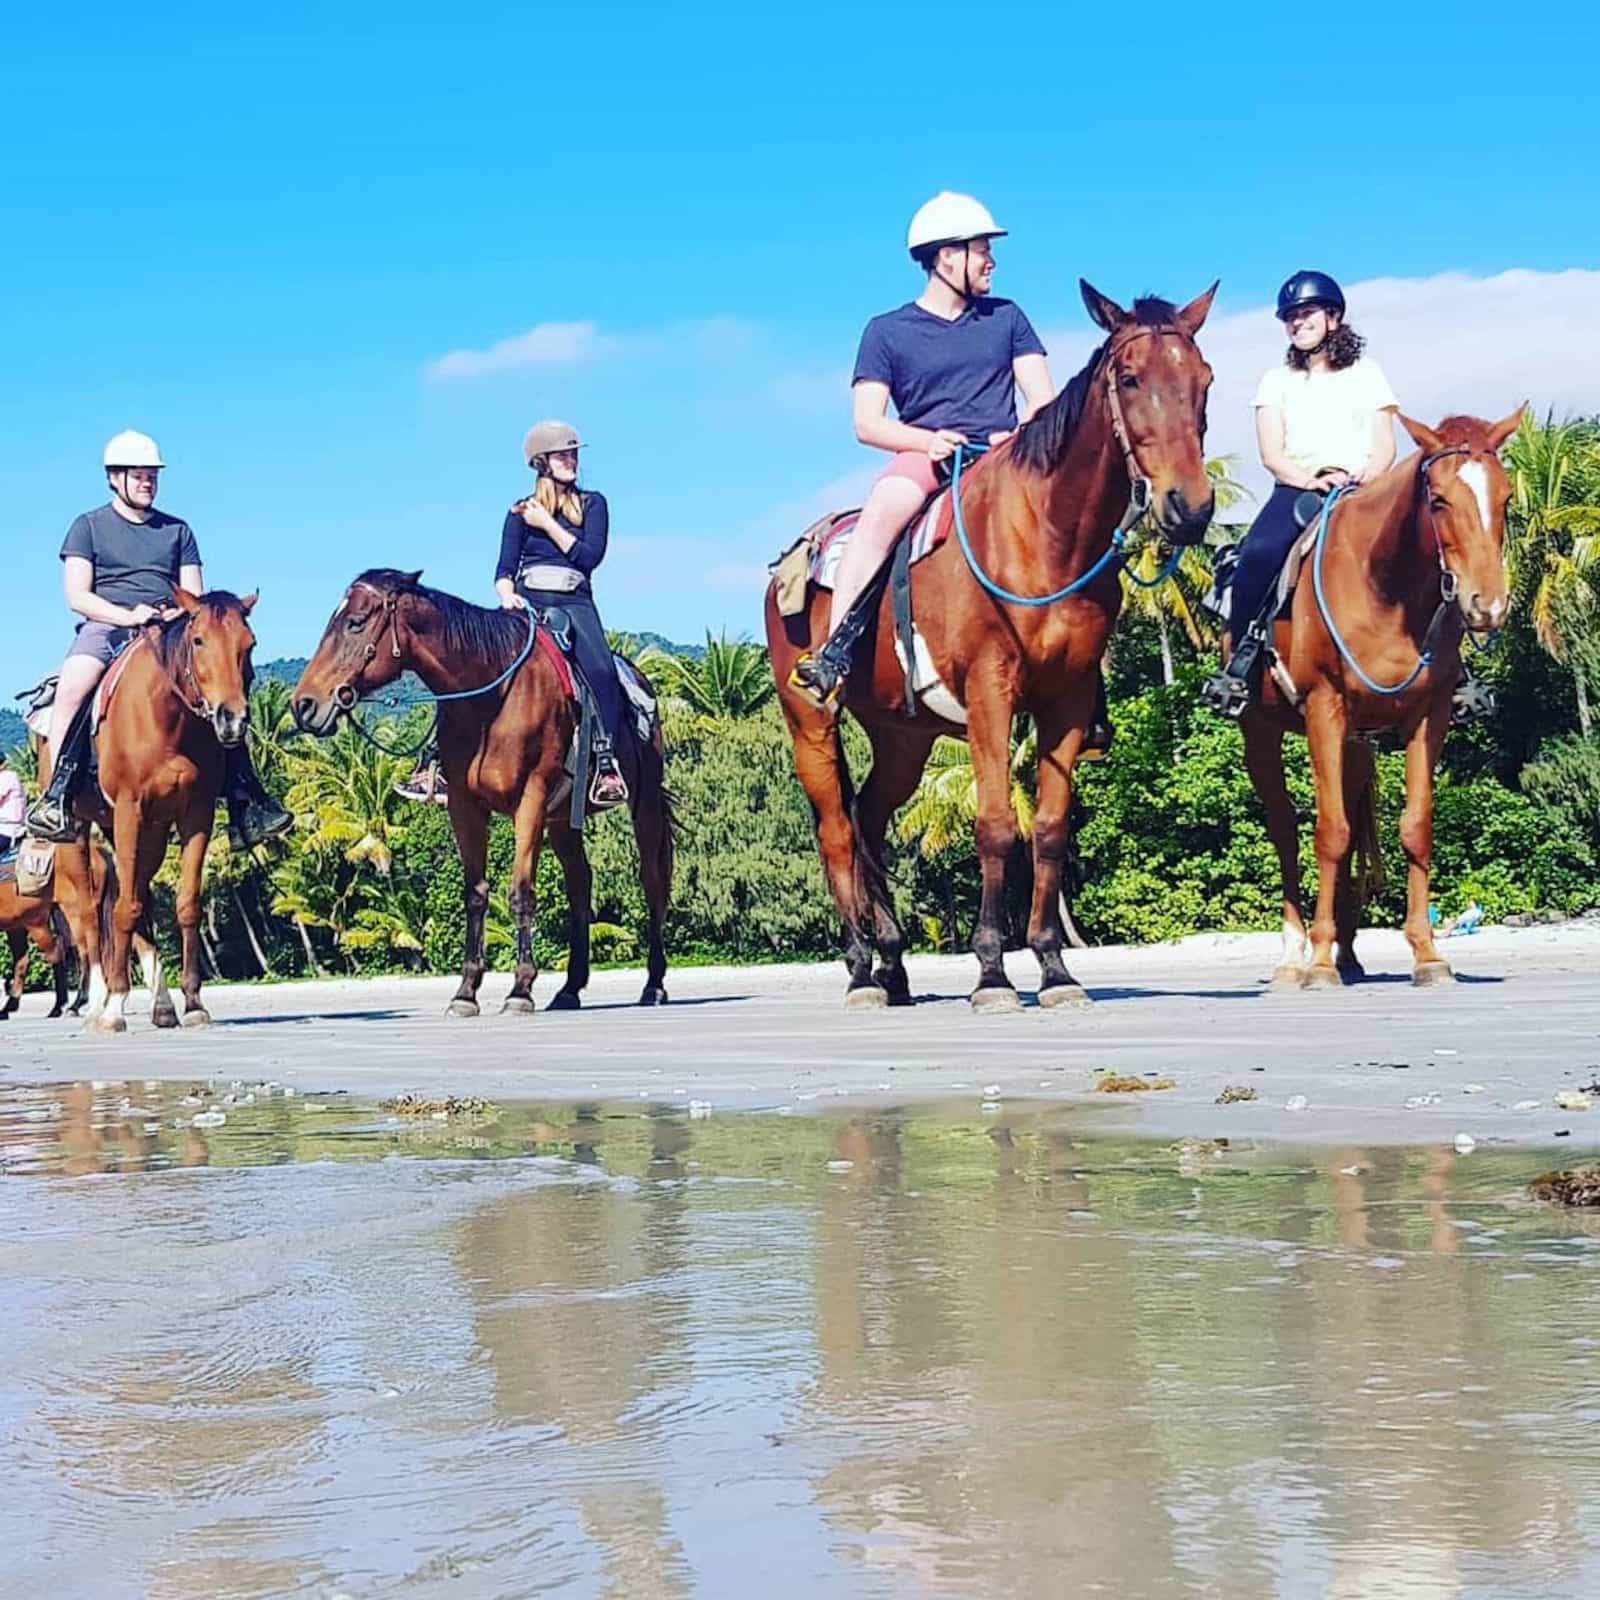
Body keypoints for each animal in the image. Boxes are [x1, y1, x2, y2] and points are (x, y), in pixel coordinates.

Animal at [42, 589, 262, 1033]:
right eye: (198, 641)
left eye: (249, 645)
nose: (232, 719)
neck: (168, 719)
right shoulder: (130, 809)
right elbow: (124, 909)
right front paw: (114, 1008)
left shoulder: (195, 813)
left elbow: (186, 904)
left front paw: (193, 1002)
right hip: (81, 836)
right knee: (91, 919)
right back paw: (97, 1004)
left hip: (148, 832)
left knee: (140, 898)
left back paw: (161, 1006)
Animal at [290, 571, 674, 1014]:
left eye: (355, 622)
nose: (304, 705)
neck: (492, 698)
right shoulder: (464, 805)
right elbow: (475, 895)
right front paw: (466, 991)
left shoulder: (531, 799)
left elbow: (521, 891)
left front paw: (520, 989)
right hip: (564, 819)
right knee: (580, 883)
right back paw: (570, 988)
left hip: (644, 805)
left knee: (651, 882)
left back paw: (654, 984)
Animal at [765, 281, 1218, 1011]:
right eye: (1129, 378)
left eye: (1203, 380)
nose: (1191, 507)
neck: (1043, 536)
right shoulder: (988, 693)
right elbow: (997, 824)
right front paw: (991, 972)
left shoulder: (1066, 701)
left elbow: (1051, 831)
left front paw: (1054, 968)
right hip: (810, 719)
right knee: (836, 831)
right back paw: (862, 969)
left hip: (902, 736)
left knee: (868, 818)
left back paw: (893, 963)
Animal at [1236, 408, 1524, 988]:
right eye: (1439, 500)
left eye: (1505, 499)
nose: (1487, 605)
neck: (1385, 590)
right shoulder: (1323, 709)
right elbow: (1328, 832)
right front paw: (1318, 963)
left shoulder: (1428, 717)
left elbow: (1414, 827)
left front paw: (1427, 954)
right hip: (1262, 731)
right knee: (1284, 830)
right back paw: (1296, 955)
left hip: (1354, 744)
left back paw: (1348, 953)